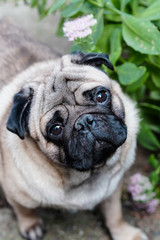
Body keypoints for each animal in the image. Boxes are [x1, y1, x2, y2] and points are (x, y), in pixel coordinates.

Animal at [0, 18, 148, 240]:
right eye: (56, 128)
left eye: (101, 96)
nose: (84, 122)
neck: (88, 173)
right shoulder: (15, 192)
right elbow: (24, 209)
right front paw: (30, 225)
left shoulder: (112, 188)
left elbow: (114, 213)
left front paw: (124, 233)